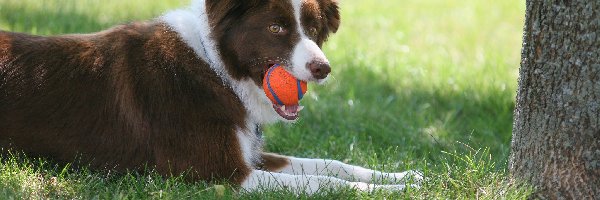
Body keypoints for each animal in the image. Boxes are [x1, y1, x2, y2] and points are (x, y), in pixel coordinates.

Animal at [0, 0, 422, 195]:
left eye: (314, 29)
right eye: (276, 28)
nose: (323, 69)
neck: (214, 66)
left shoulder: (246, 153)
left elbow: (330, 164)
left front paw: (401, 176)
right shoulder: (220, 173)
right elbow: (325, 184)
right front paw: (389, 192)